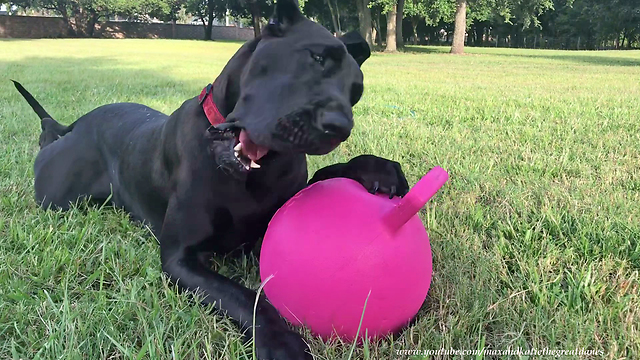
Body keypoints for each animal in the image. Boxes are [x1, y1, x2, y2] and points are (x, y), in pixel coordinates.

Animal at [13, 0, 410, 358]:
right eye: (316, 58)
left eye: (356, 92)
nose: (340, 128)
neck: (247, 175)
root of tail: (78, 122)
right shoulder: (180, 258)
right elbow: (244, 296)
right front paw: (281, 343)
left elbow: (325, 175)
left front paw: (375, 168)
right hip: (56, 193)